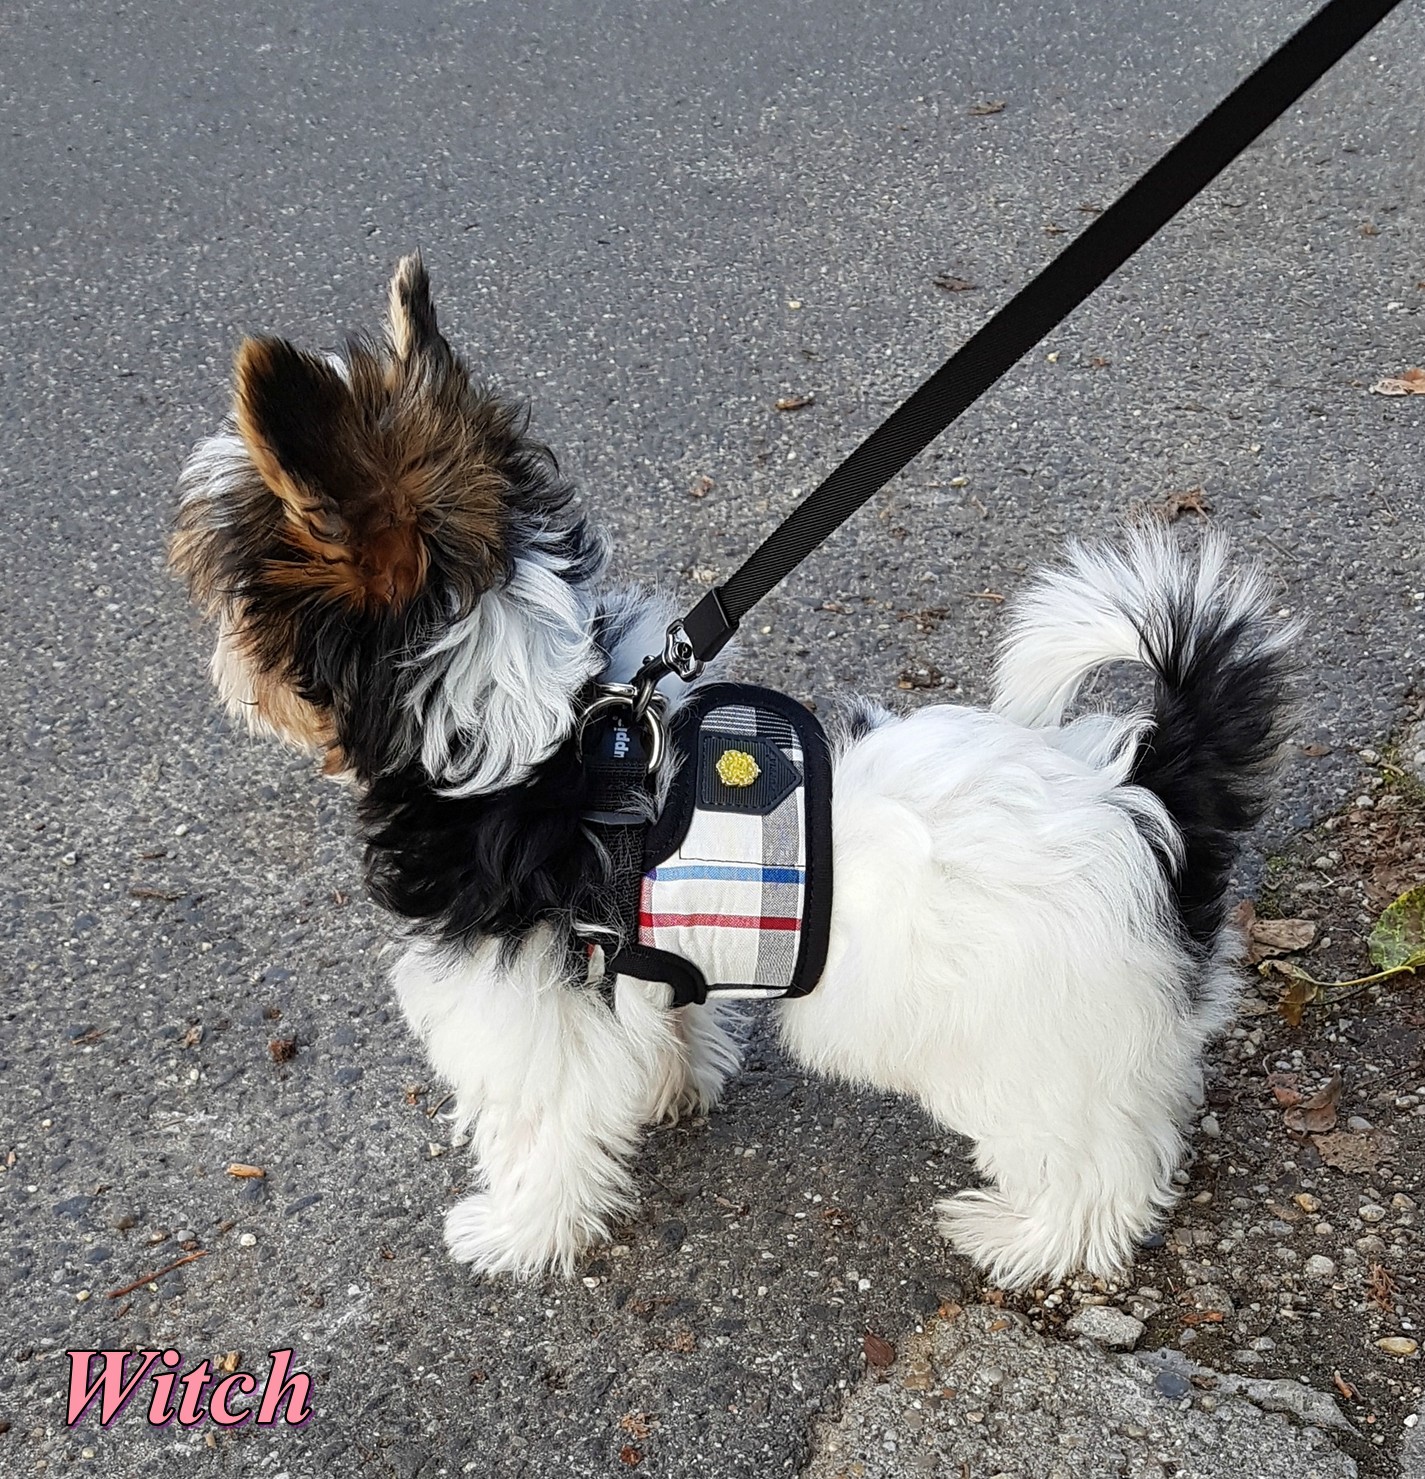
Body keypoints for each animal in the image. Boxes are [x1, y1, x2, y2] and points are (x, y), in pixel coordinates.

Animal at [170, 255, 1293, 1289]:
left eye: (231, 576)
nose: (219, 664)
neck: (533, 732)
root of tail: (1144, 788)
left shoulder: (526, 1007)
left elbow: (538, 1128)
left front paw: (518, 1232)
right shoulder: (638, 964)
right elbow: (659, 1029)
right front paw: (666, 1088)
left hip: (1032, 1052)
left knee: (1096, 1168)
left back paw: (1033, 1239)